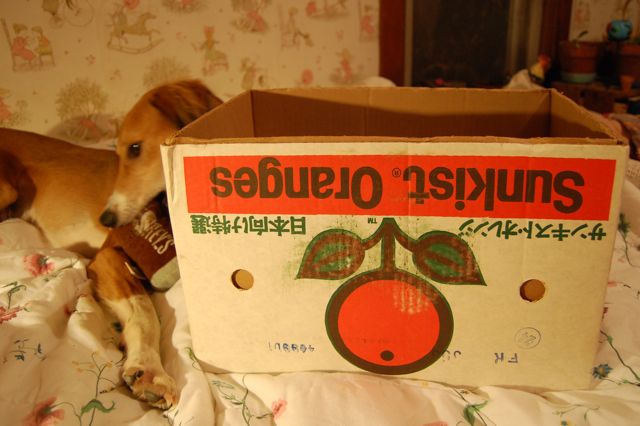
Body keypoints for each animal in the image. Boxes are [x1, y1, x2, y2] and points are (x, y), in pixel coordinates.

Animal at [0, 80, 223, 409]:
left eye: (134, 149)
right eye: (118, 153)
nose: (106, 219)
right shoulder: (108, 257)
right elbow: (144, 310)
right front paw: (150, 370)